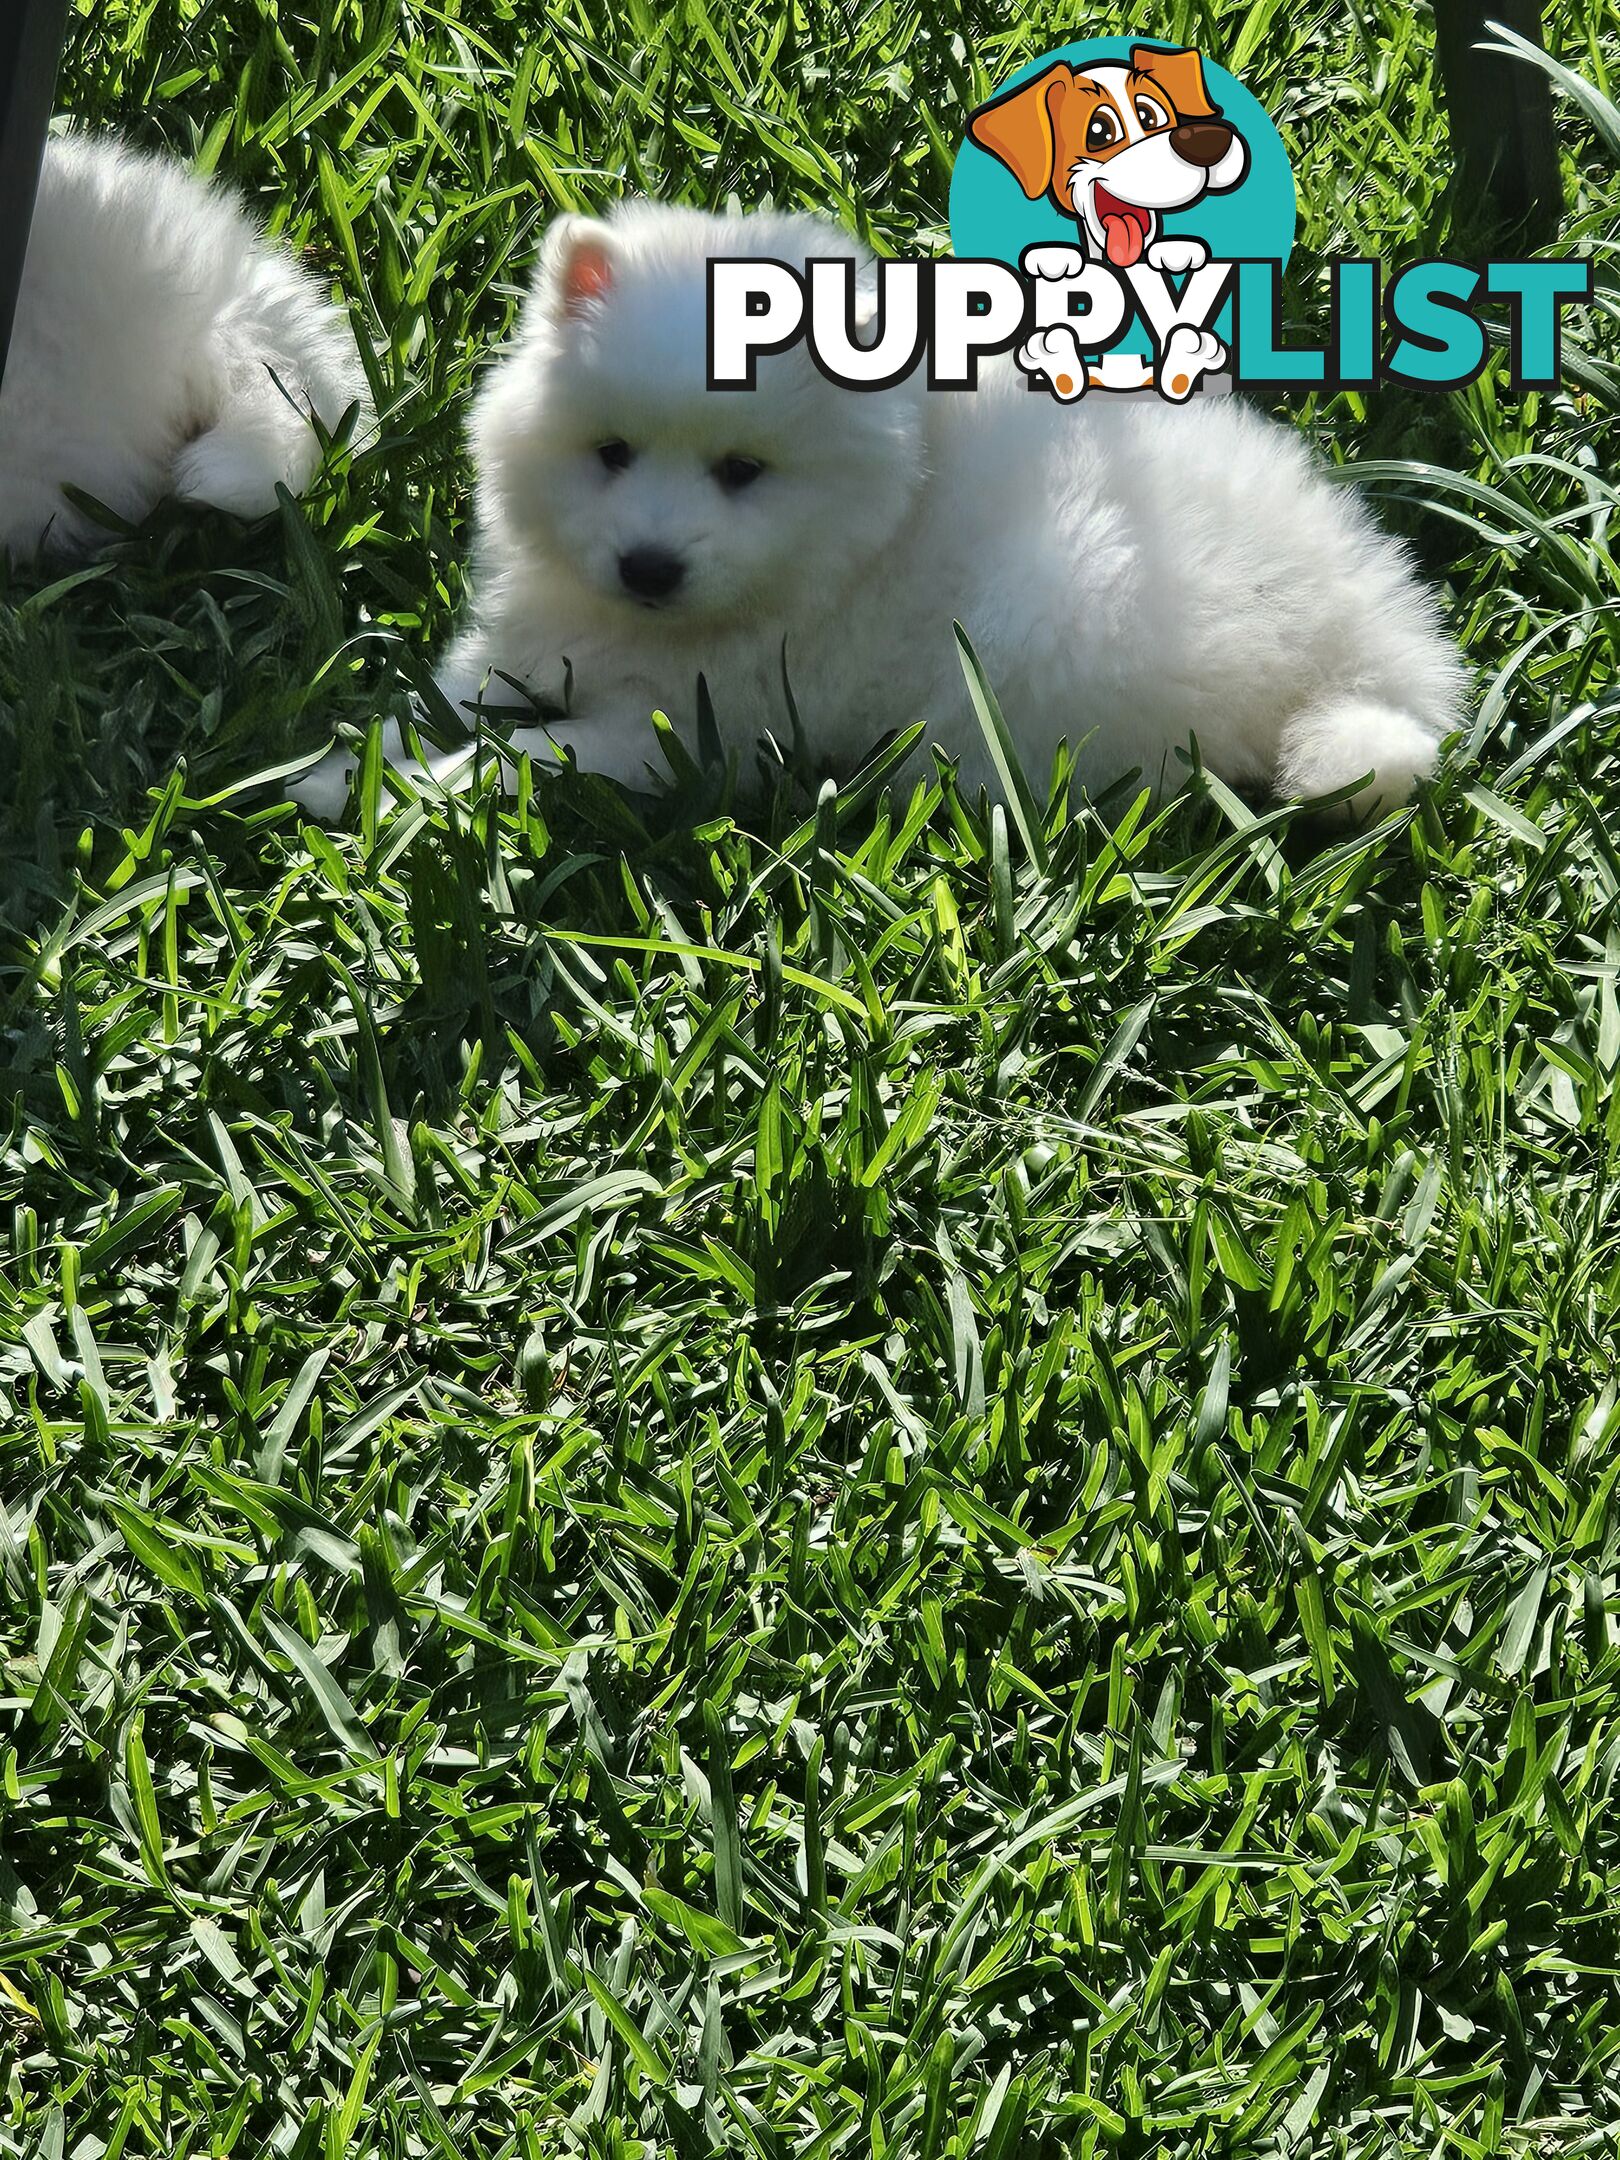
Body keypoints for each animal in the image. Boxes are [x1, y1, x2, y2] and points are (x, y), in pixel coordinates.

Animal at [295, 200, 1468, 816]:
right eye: (611, 453)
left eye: (742, 471)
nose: (648, 566)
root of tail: (1361, 625)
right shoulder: (526, 638)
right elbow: (445, 699)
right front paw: (337, 763)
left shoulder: (697, 727)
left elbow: (531, 755)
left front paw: (379, 791)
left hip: (1065, 611)